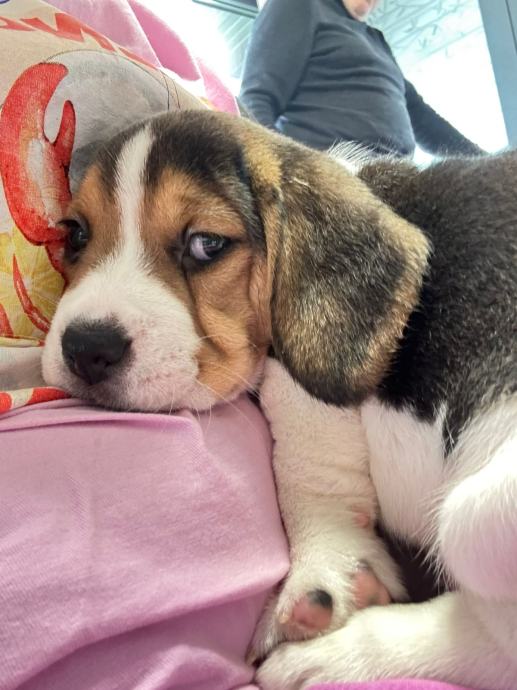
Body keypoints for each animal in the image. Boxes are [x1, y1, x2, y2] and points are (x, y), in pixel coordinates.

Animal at [42, 110, 517, 690]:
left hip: (480, 507)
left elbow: (303, 459)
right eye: (76, 234)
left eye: (206, 244)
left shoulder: (302, 383)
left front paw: (325, 573)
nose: (86, 348)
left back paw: (330, 658)